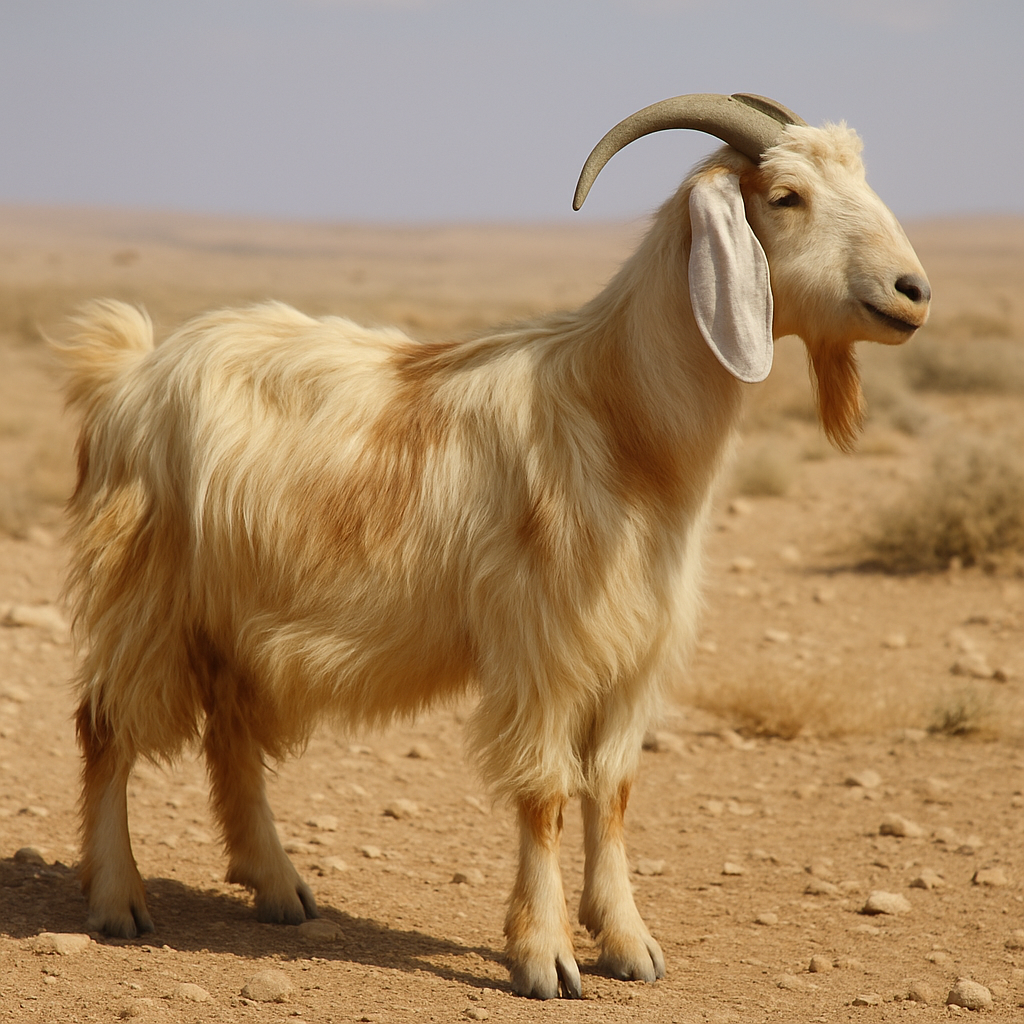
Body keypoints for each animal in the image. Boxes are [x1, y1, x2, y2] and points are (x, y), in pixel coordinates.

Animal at [57, 93, 929, 999]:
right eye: (786, 196)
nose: (914, 292)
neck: (618, 420)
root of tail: (127, 369)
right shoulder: (541, 648)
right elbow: (545, 794)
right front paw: (544, 958)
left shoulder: (633, 653)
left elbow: (613, 788)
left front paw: (629, 943)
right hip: (147, 594)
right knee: (105, 728)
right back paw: (117, 899)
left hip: (234, 619)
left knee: (228, 734)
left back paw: (278, 887)